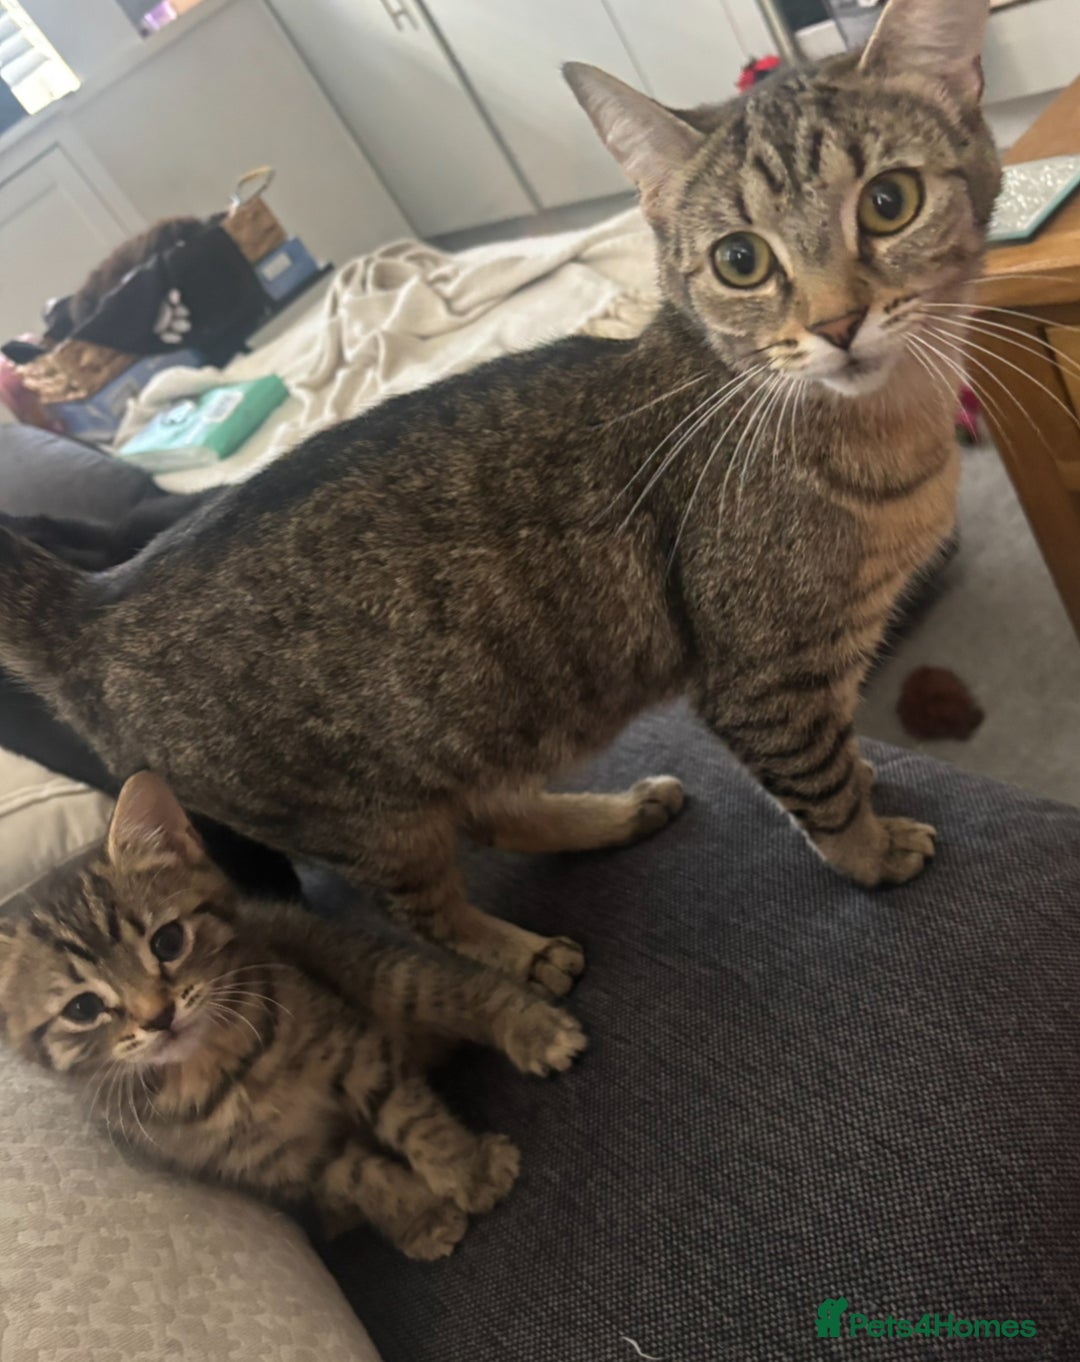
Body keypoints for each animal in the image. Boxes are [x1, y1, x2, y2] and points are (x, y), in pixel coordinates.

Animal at [0, 0, 1000, 995]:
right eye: (741, 260)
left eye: (889, 202)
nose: (837, 324)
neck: (888, 429)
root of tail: (90, 604)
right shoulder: (761, 678)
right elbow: (820, 786)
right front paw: (872, 849)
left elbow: (842, 749)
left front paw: (868, 785)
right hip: (370, 819)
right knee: (424, 910)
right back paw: (521, 952)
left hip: (463, 745)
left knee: (491, 812)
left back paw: (605, 816)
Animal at [0, 772, 586, 1258]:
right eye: (82, 1008)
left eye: (168, 942)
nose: (159, 1015)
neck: (223, 1071)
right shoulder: (283, 1162)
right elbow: (359, 1175)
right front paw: (417, 1216)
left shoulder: (359, 1052)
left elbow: (413, 1116)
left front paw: (467, 1169)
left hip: (370, 972)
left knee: (459, 989)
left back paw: (533, 1027)